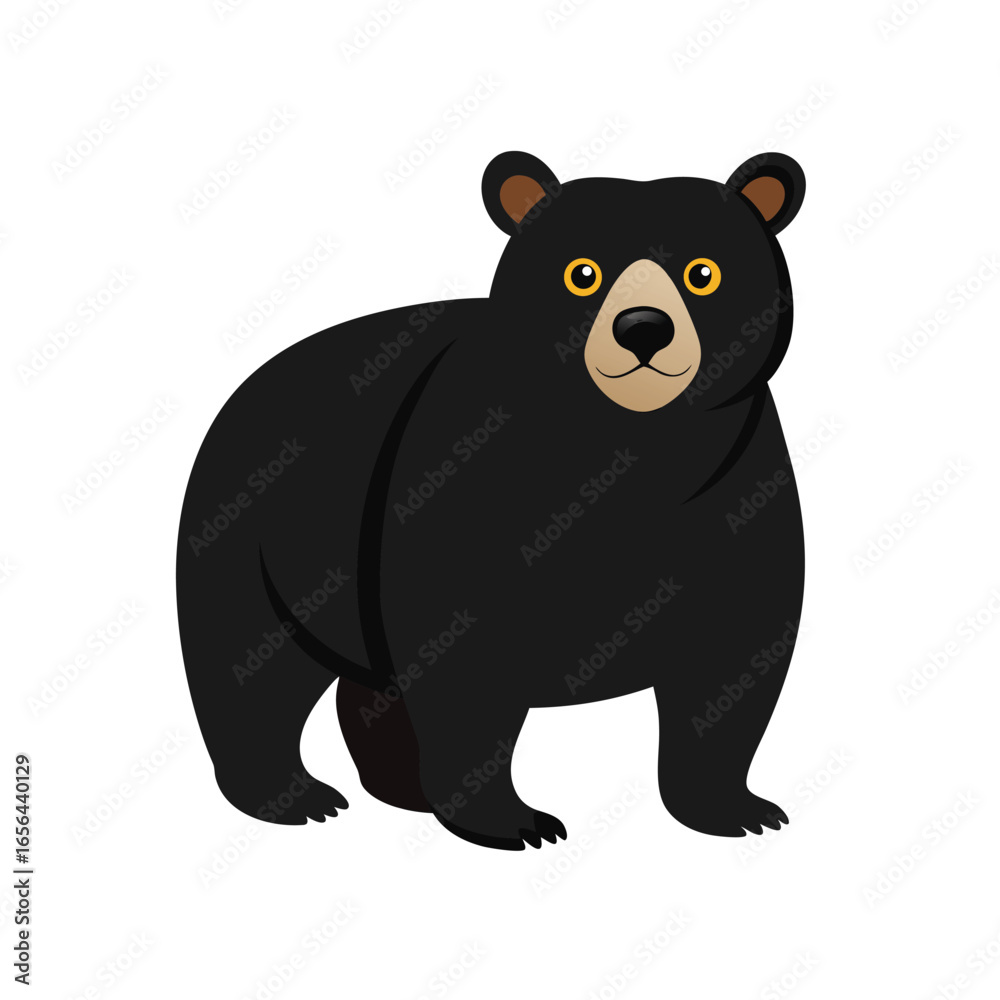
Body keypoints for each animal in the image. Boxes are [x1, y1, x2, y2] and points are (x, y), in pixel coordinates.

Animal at [177, 149, 806, 851]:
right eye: (582, 273)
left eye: (703, 273)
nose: (644, 328)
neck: (632, 444)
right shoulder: (462, 479)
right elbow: (463, 660)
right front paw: (515, 821)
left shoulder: (737, 486)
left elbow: (734, 654)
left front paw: (736, 809)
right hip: (251, 531)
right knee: (250, 662)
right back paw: (293, 796)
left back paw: (399, 792)